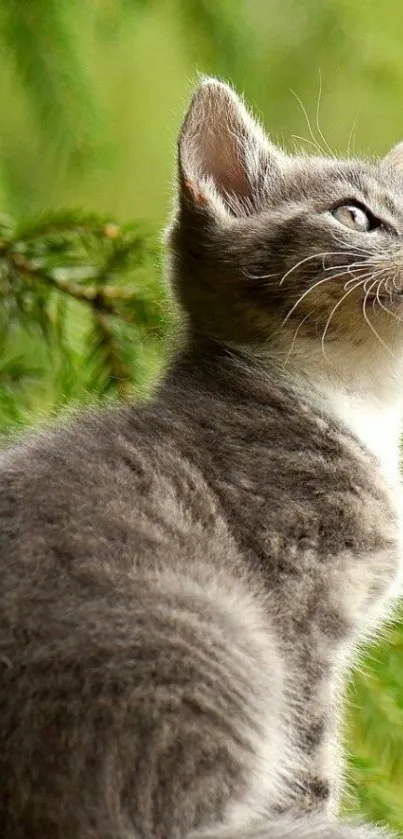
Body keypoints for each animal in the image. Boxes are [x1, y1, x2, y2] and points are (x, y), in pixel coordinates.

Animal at [0, 80, 403, 839]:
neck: (355, 400)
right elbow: (309, 762)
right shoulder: (300, 613)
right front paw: (319, 813)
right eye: (353, 215)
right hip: (211, 641)